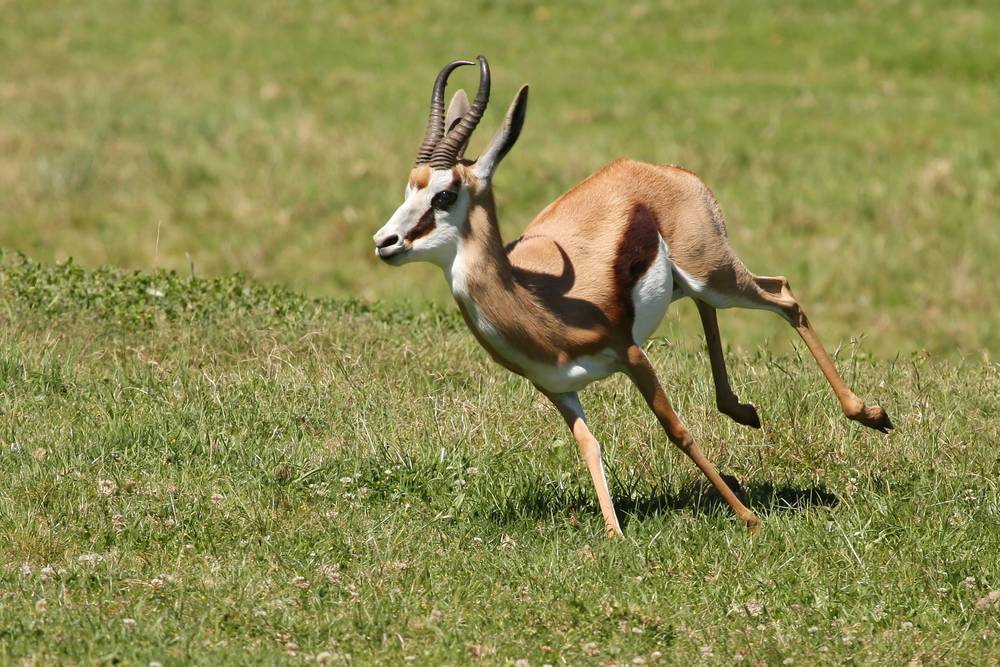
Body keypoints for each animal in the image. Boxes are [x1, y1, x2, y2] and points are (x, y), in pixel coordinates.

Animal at [374, 57, 892, 536]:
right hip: (692, 282)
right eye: (408, 189)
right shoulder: (557, 389)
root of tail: (667, 171)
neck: (538, 304)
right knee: (714, 308)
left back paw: (871, 414)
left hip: (716, 275)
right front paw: (614, 534)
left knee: (783, 295)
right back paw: (743, 410)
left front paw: (749, 518)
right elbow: (589, 446)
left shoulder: (631, 354)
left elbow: (676, 429)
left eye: (445, 194)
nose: (385, 242)